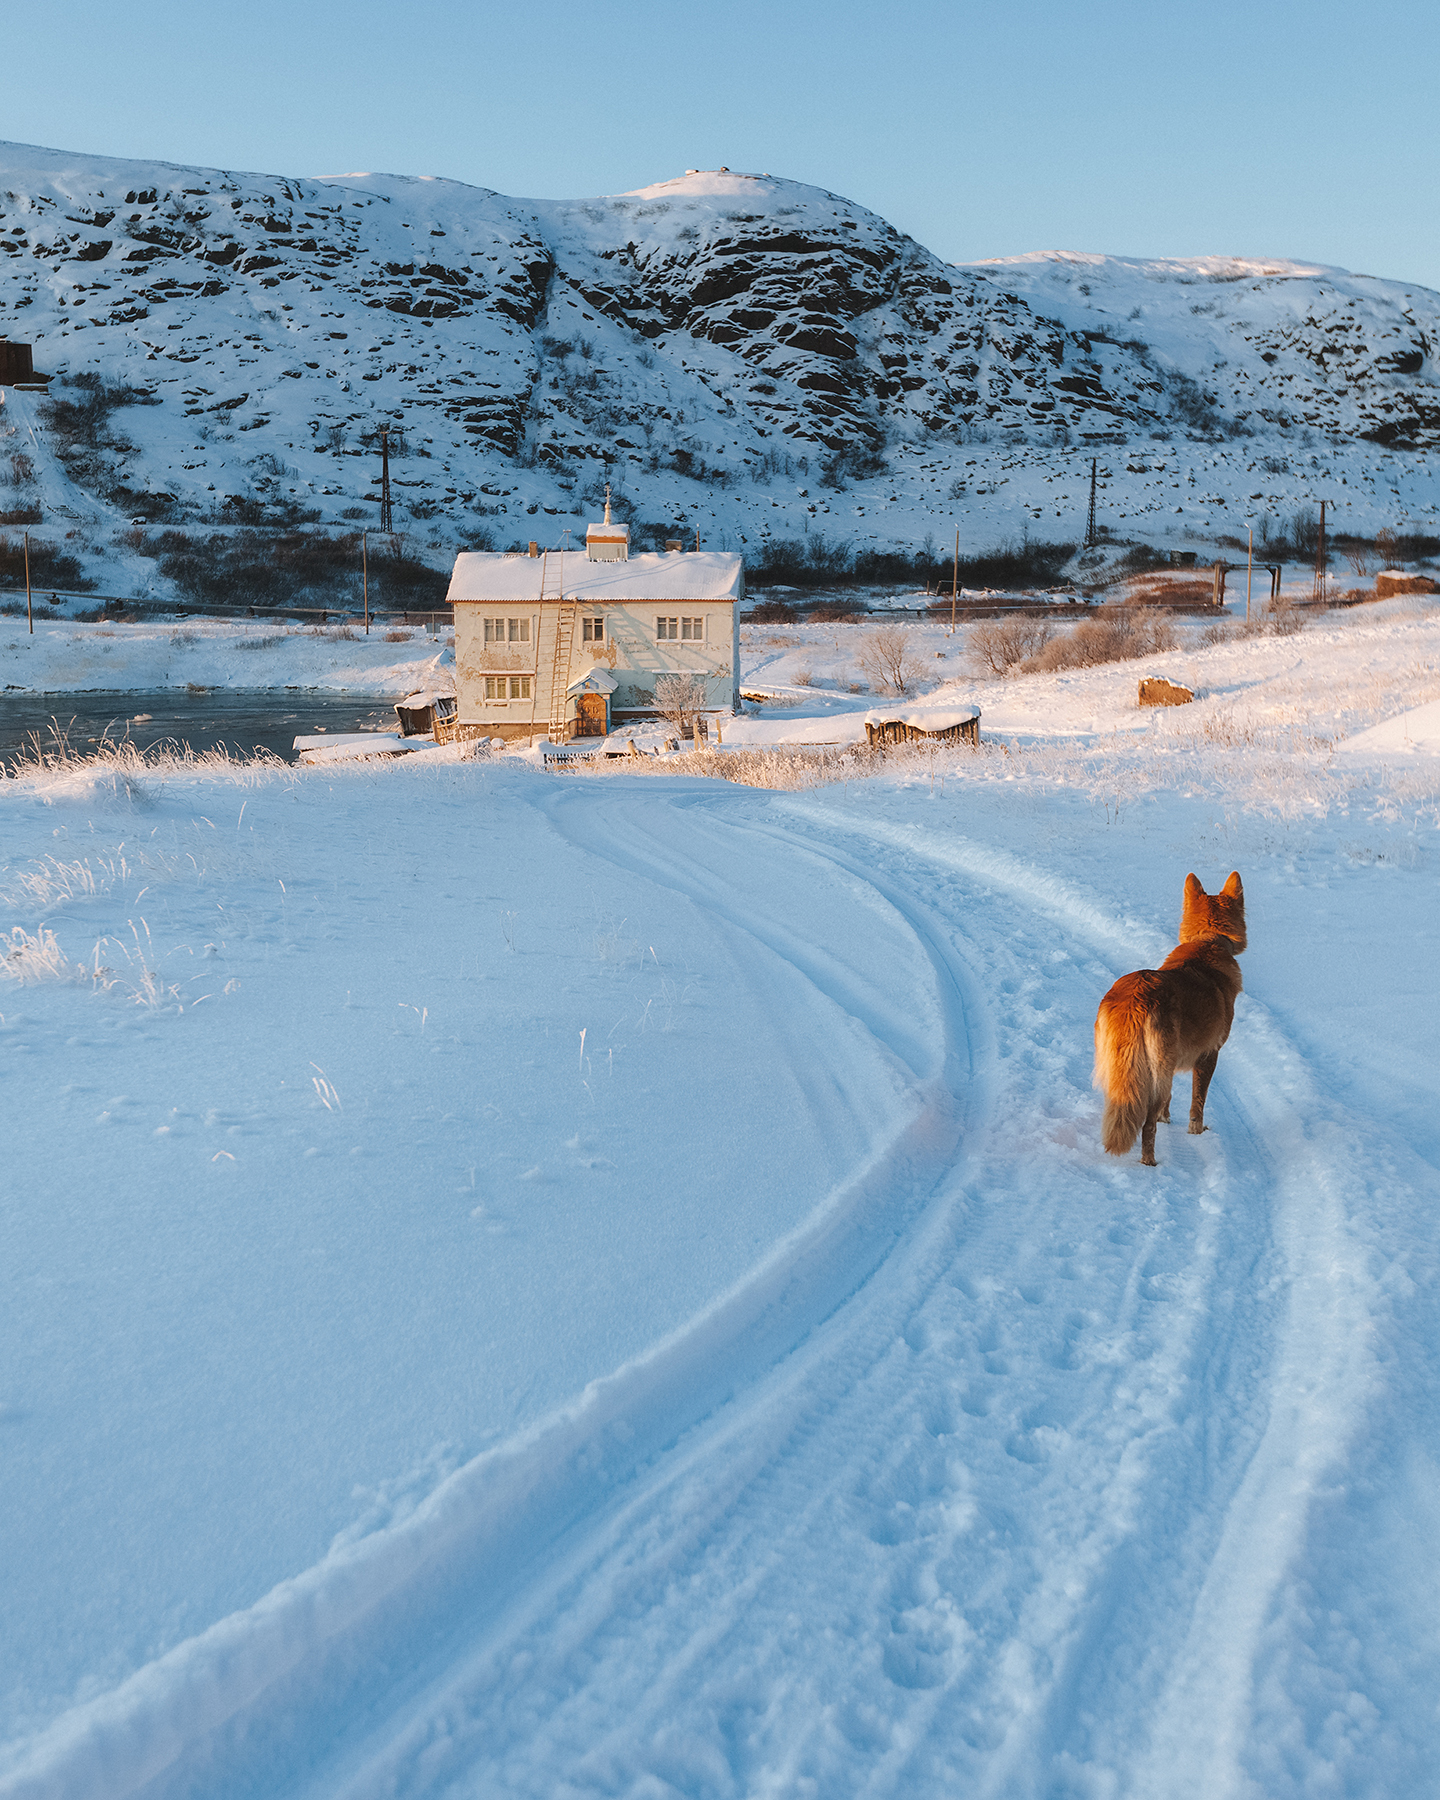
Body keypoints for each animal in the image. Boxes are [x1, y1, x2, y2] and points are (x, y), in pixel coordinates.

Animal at [1094, 874, 1245, 1166]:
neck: (1209, 941)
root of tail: (1136, 999)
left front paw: (1167, 1119)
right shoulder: (1209, 1055)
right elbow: (1198, 1103)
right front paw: (1196, 1133)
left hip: (1116, 1066)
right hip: (1156, 1073)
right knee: (1147, 1124)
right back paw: (1149, 1163)